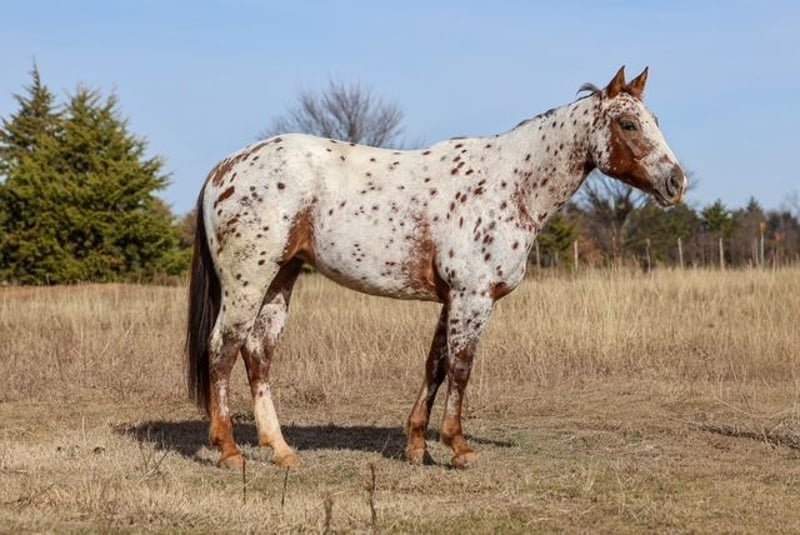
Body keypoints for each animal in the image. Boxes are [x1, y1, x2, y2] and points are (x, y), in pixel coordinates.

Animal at [185, 66, 687, 470]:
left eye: (657, 122)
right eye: (628, 124)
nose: (675, 182)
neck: (509, 185)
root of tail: (225, 167)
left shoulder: (452, 300)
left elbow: (435, 366)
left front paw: (416, 447)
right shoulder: (473, 297)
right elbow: (461, 368)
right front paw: (458, 448)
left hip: (279, 280)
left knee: (258, 355)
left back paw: (281, 450)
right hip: (248, 283)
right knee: (223, 350)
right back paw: (229, 451)